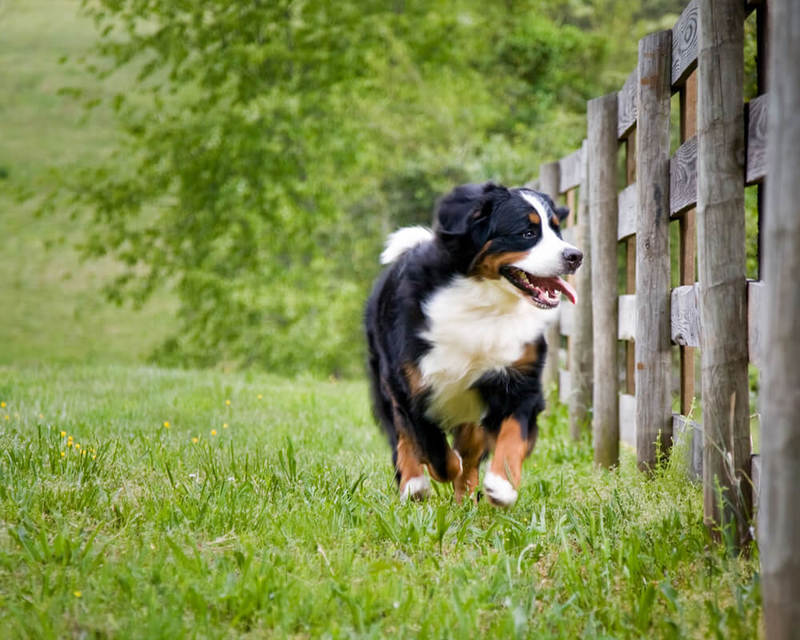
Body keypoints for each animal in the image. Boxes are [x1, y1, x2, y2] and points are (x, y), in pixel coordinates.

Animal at [364, 182, 580, 508]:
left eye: (557, 230)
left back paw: (465, 496)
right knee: (402, 436)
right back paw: (414, 484)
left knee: (470, 445)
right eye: (527, 232)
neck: (486, 304)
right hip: (387, 383)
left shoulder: (520, 380)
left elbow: (513, 433)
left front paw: (503, 485)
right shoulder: (413, 385)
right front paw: (439, 472)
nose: (575, 256)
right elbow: (434, 450)